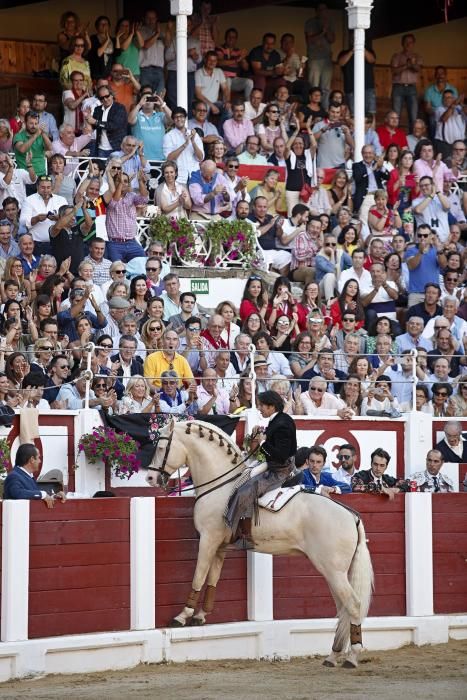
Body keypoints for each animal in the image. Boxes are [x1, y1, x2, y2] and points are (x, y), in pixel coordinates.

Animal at [148, 418, 374, 668]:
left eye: (161, 447)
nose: (149, 478)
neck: (222, 486)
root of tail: (352, 516)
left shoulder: (208, 539)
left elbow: (198, 575)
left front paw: (182, 616)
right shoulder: (220, 547)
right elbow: (213, 578)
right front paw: (201, 616)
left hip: (333, 570)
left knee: (353, 605)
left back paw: (351, 656)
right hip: (335, 572)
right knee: (342, 608)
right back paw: (333, 655)